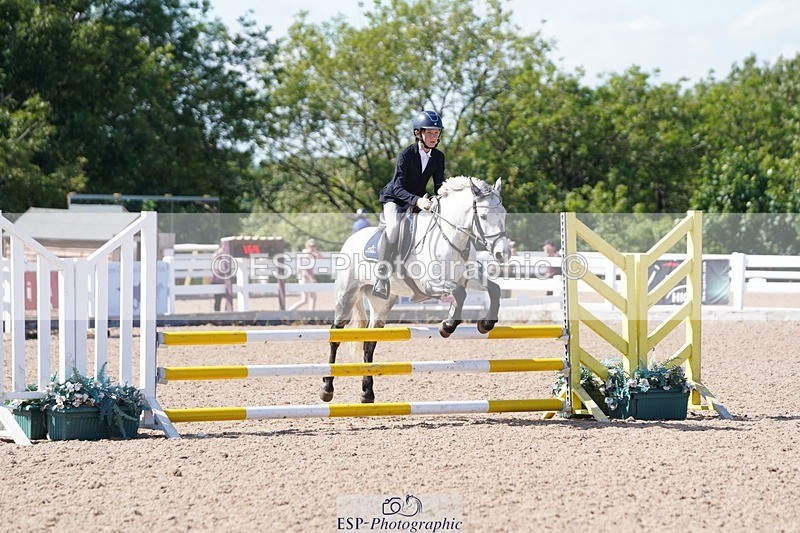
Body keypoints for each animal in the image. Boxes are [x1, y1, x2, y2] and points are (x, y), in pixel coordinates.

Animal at [321, 176, 511, 403]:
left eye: (504, 214)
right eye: (482, 216)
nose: (503, 254)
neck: (450, 238)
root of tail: (352, 239)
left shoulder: (469, 277)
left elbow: (494, 289)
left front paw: (485, 324)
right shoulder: (430, 283)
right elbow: (459, 292)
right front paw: (447, 326)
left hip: (381, 303)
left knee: (369, 342)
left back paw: (367, 393)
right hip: (346, 295)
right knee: (336, 336)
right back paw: (327, 388)